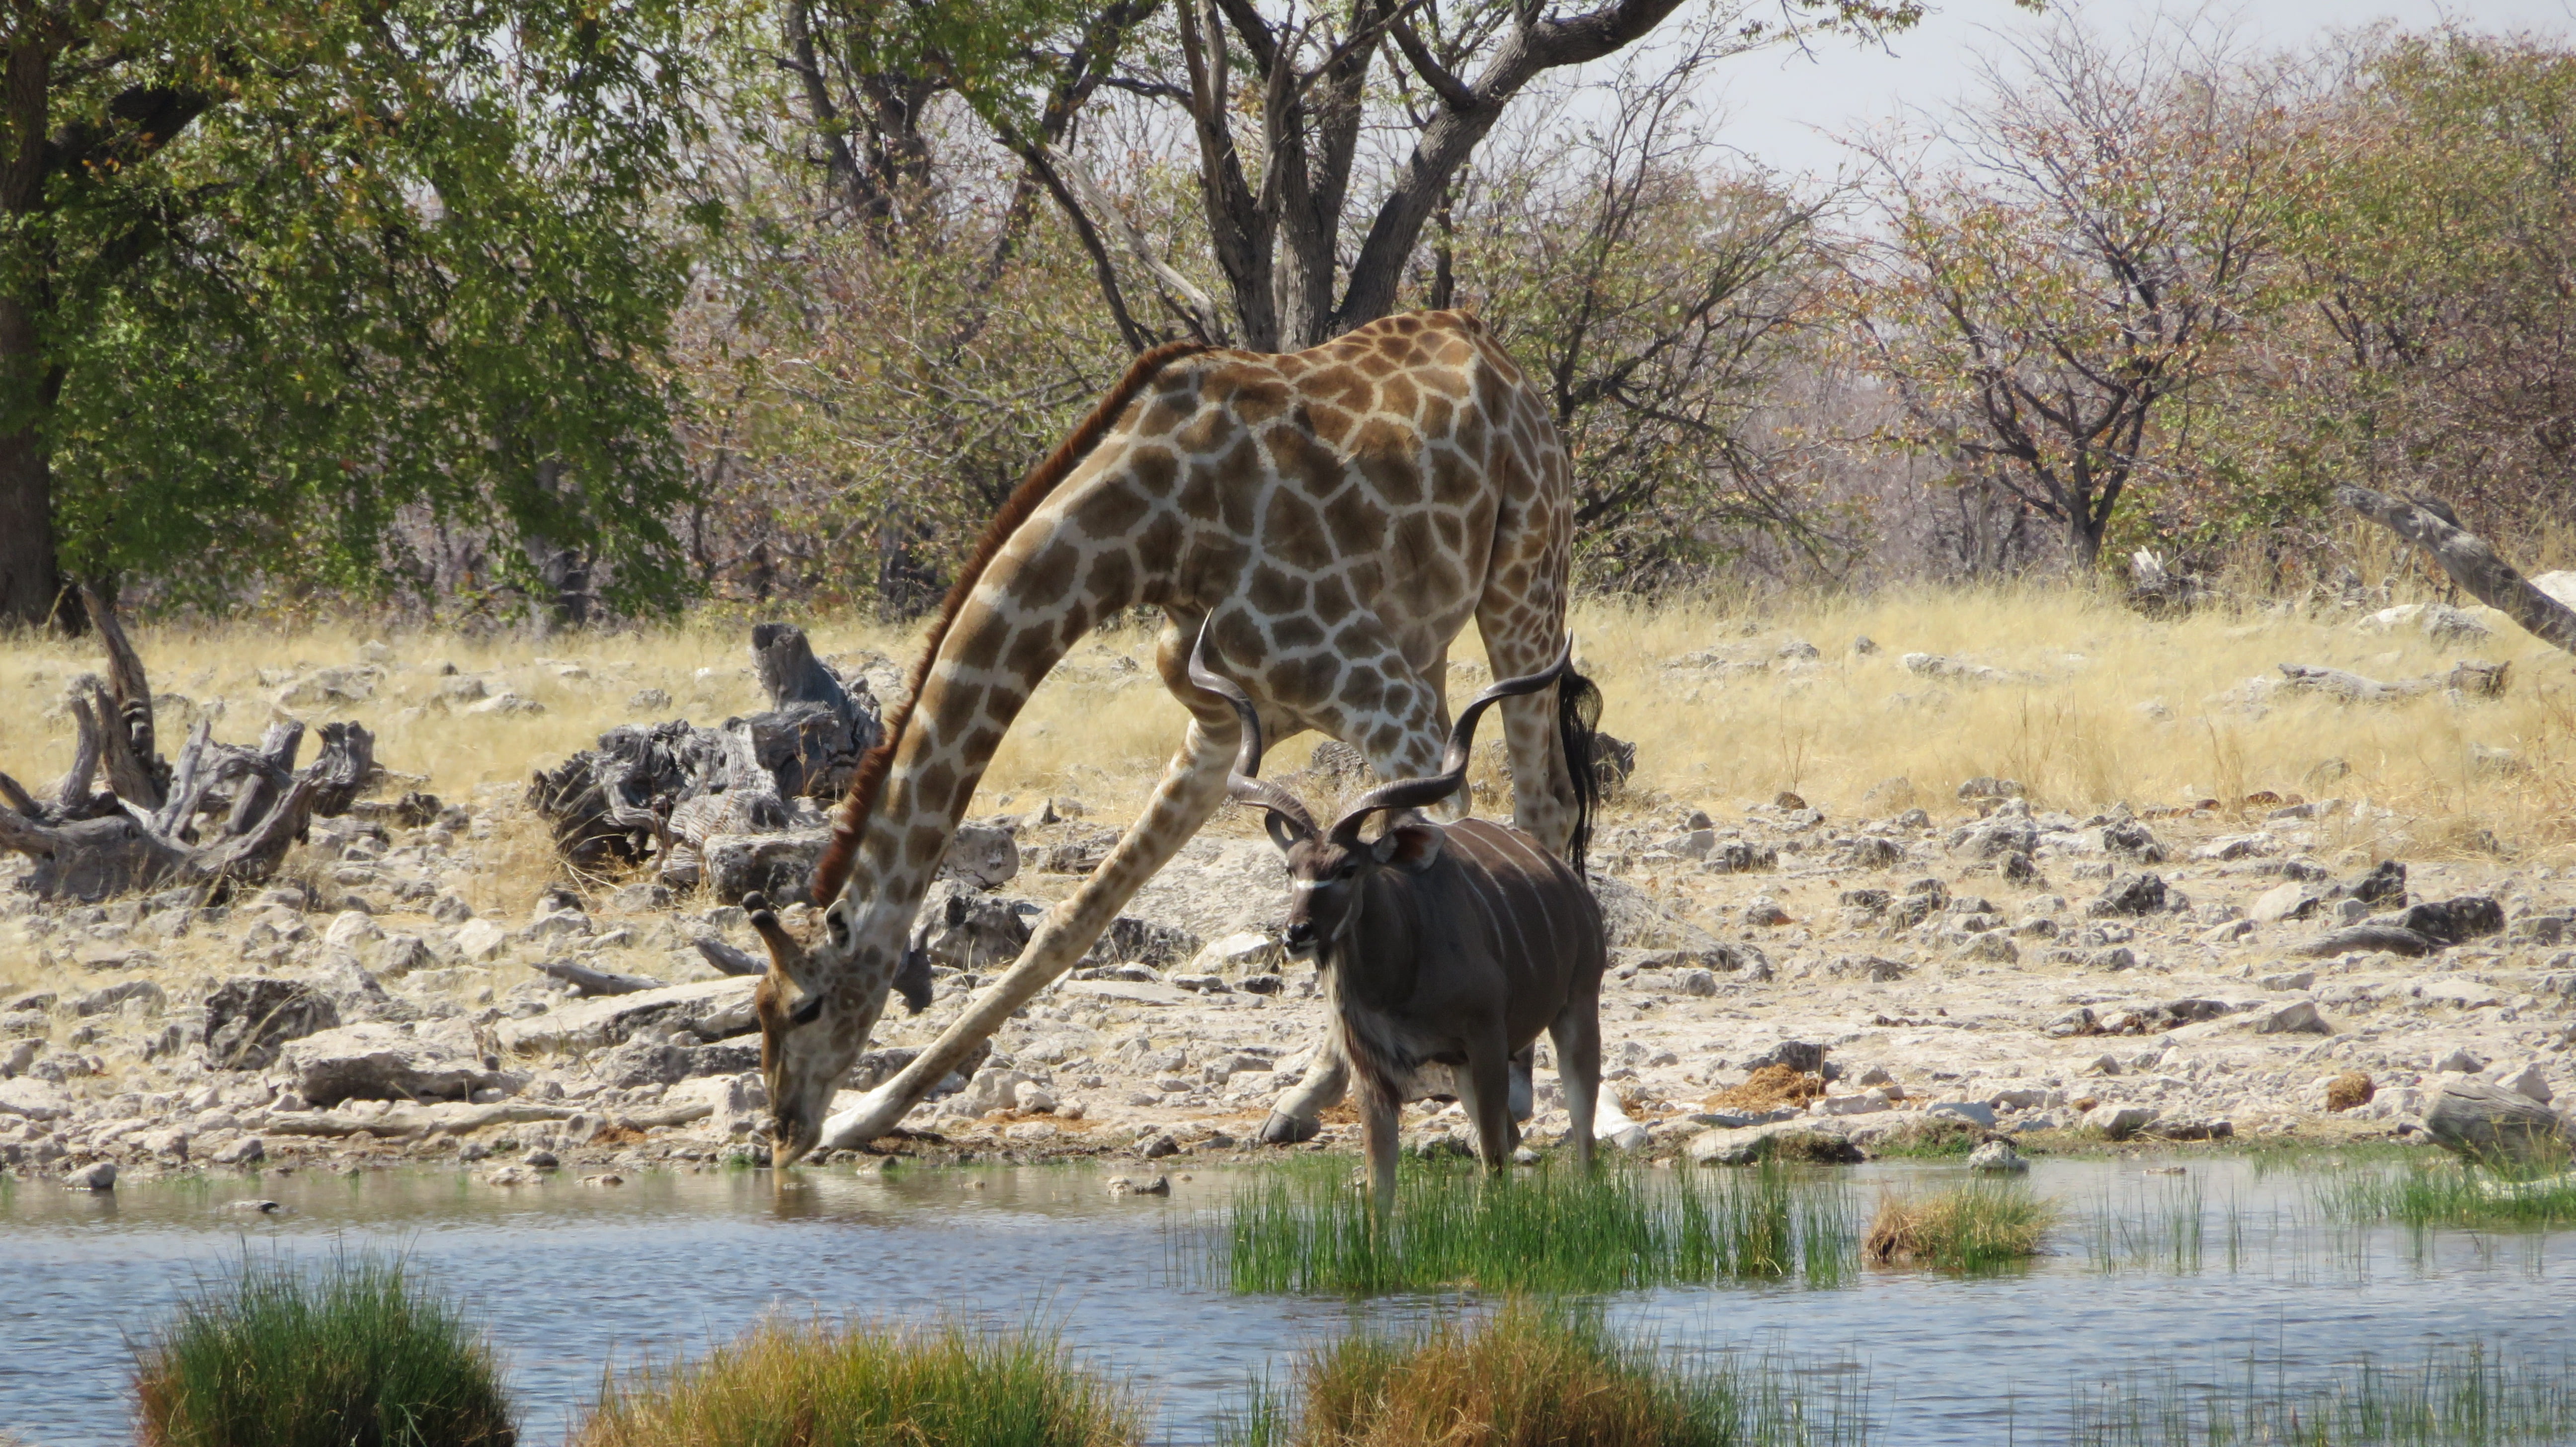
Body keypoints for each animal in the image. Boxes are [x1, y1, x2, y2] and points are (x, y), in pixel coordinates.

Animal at [1190, 626, 1606, 1214]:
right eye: (1291, 868)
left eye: (1348, 868)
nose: (1297, 933)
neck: (1398, 976)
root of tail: (1569, 884)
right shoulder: (1377, 1072)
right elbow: (1379, 1189)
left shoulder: (1485, 1041)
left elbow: (1494, 1169)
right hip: (1466, 1067)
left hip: (1575, 1009)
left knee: (1580, 1142)